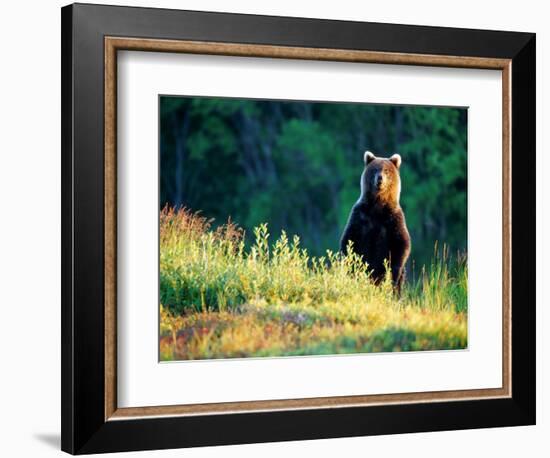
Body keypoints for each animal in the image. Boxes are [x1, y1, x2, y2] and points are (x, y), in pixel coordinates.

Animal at [340, 152, 414, 292]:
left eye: (386, 170)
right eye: (375, 169)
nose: (380, 178)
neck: (377, 206)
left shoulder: (393, 218)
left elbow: (401, 243)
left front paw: (394, 273)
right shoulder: (361, 215)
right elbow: (349, 239)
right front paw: (349, 264)